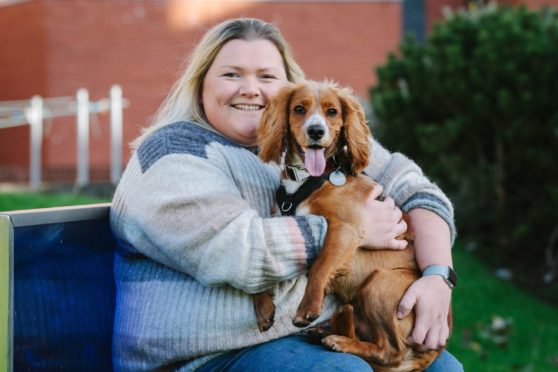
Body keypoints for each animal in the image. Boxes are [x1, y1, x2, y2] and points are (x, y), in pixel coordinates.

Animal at [256, 81, 452, 372]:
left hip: (379, 282)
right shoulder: (278, 224)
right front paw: (263, 309)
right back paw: (326, 331)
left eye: (332, 111)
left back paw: (339, 341)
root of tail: (432, 353)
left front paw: (307, 309)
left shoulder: (346, 229)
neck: (309, 179)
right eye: (299, 109)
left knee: (390, 351)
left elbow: (320, 266)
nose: (316, 131)